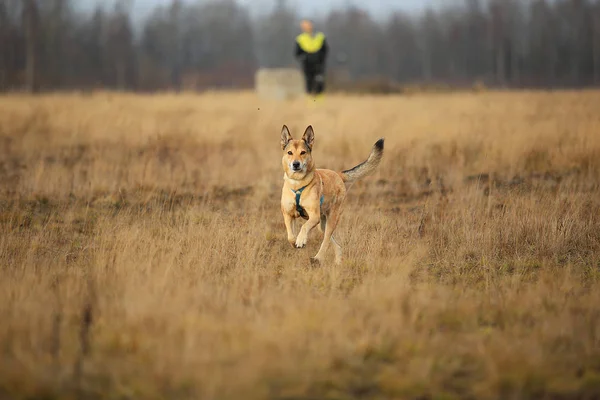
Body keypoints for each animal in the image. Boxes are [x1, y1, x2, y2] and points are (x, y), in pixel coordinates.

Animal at [280, 123, 384, 264]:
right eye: (289, 152)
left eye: (303, 152)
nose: (296, 164)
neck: (297, 184)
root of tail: (338, 174)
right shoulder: (287, 214)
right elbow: (290, 235)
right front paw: (296, 242)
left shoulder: (314, 216)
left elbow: (304, 227)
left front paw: (301, 240)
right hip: (323, 225)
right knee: (334, 242)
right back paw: (338, 261)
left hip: (331, 219)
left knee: (326, 241)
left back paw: (318, 258)